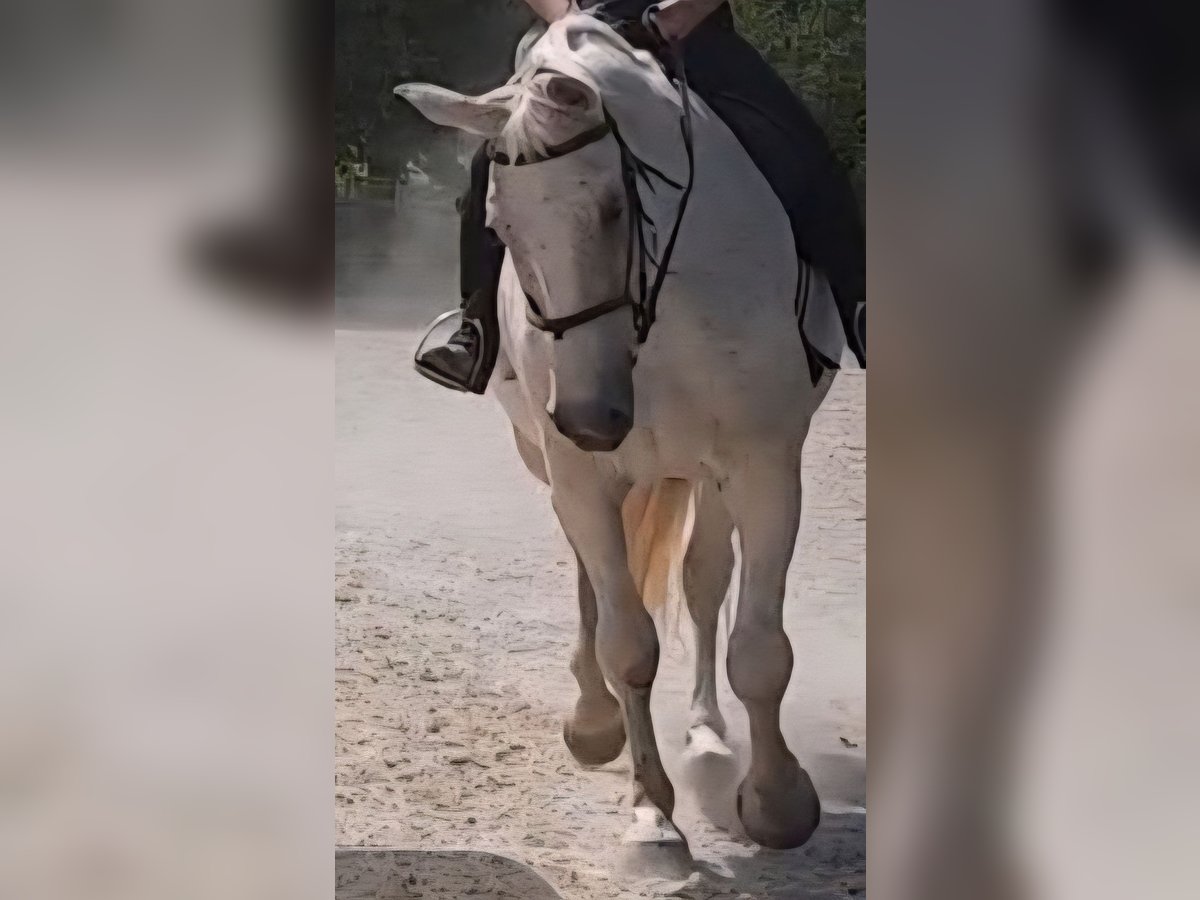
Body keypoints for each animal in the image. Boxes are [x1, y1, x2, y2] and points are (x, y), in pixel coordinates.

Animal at [397, 13, 839, 851]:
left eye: (611, 208)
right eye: (500, 226)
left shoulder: (763, 465)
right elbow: (627, 641)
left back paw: (707, 736)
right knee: (594, 579)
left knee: (703, 581)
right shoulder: (577, 472)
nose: (590, 417)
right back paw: (594, 715)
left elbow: (758, 649)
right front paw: (650, 815)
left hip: (703, 473)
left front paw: (778, 803)